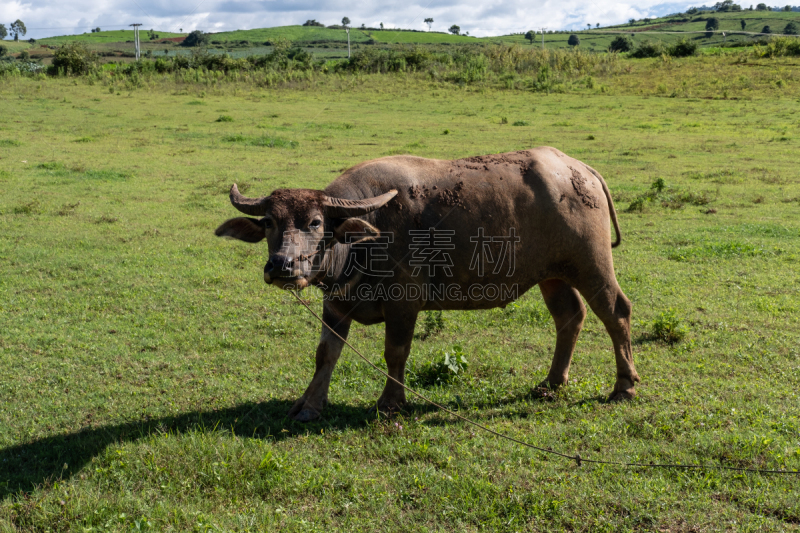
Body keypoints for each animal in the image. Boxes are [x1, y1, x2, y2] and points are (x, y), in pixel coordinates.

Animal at [216, 148, 640, 422]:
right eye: (269, 222)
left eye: (316, 223)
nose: (282, 265)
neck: (363, 241)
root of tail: (579, 168)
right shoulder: (335, 305)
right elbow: (325, 355)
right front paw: (310, 405)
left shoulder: (404, 302)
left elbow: (395, 352)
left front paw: (390, 402)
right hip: (551, 274)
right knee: (570, 317)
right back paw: (551, 383)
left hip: (591, 263)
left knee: (615, 312)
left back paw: (624, 386)